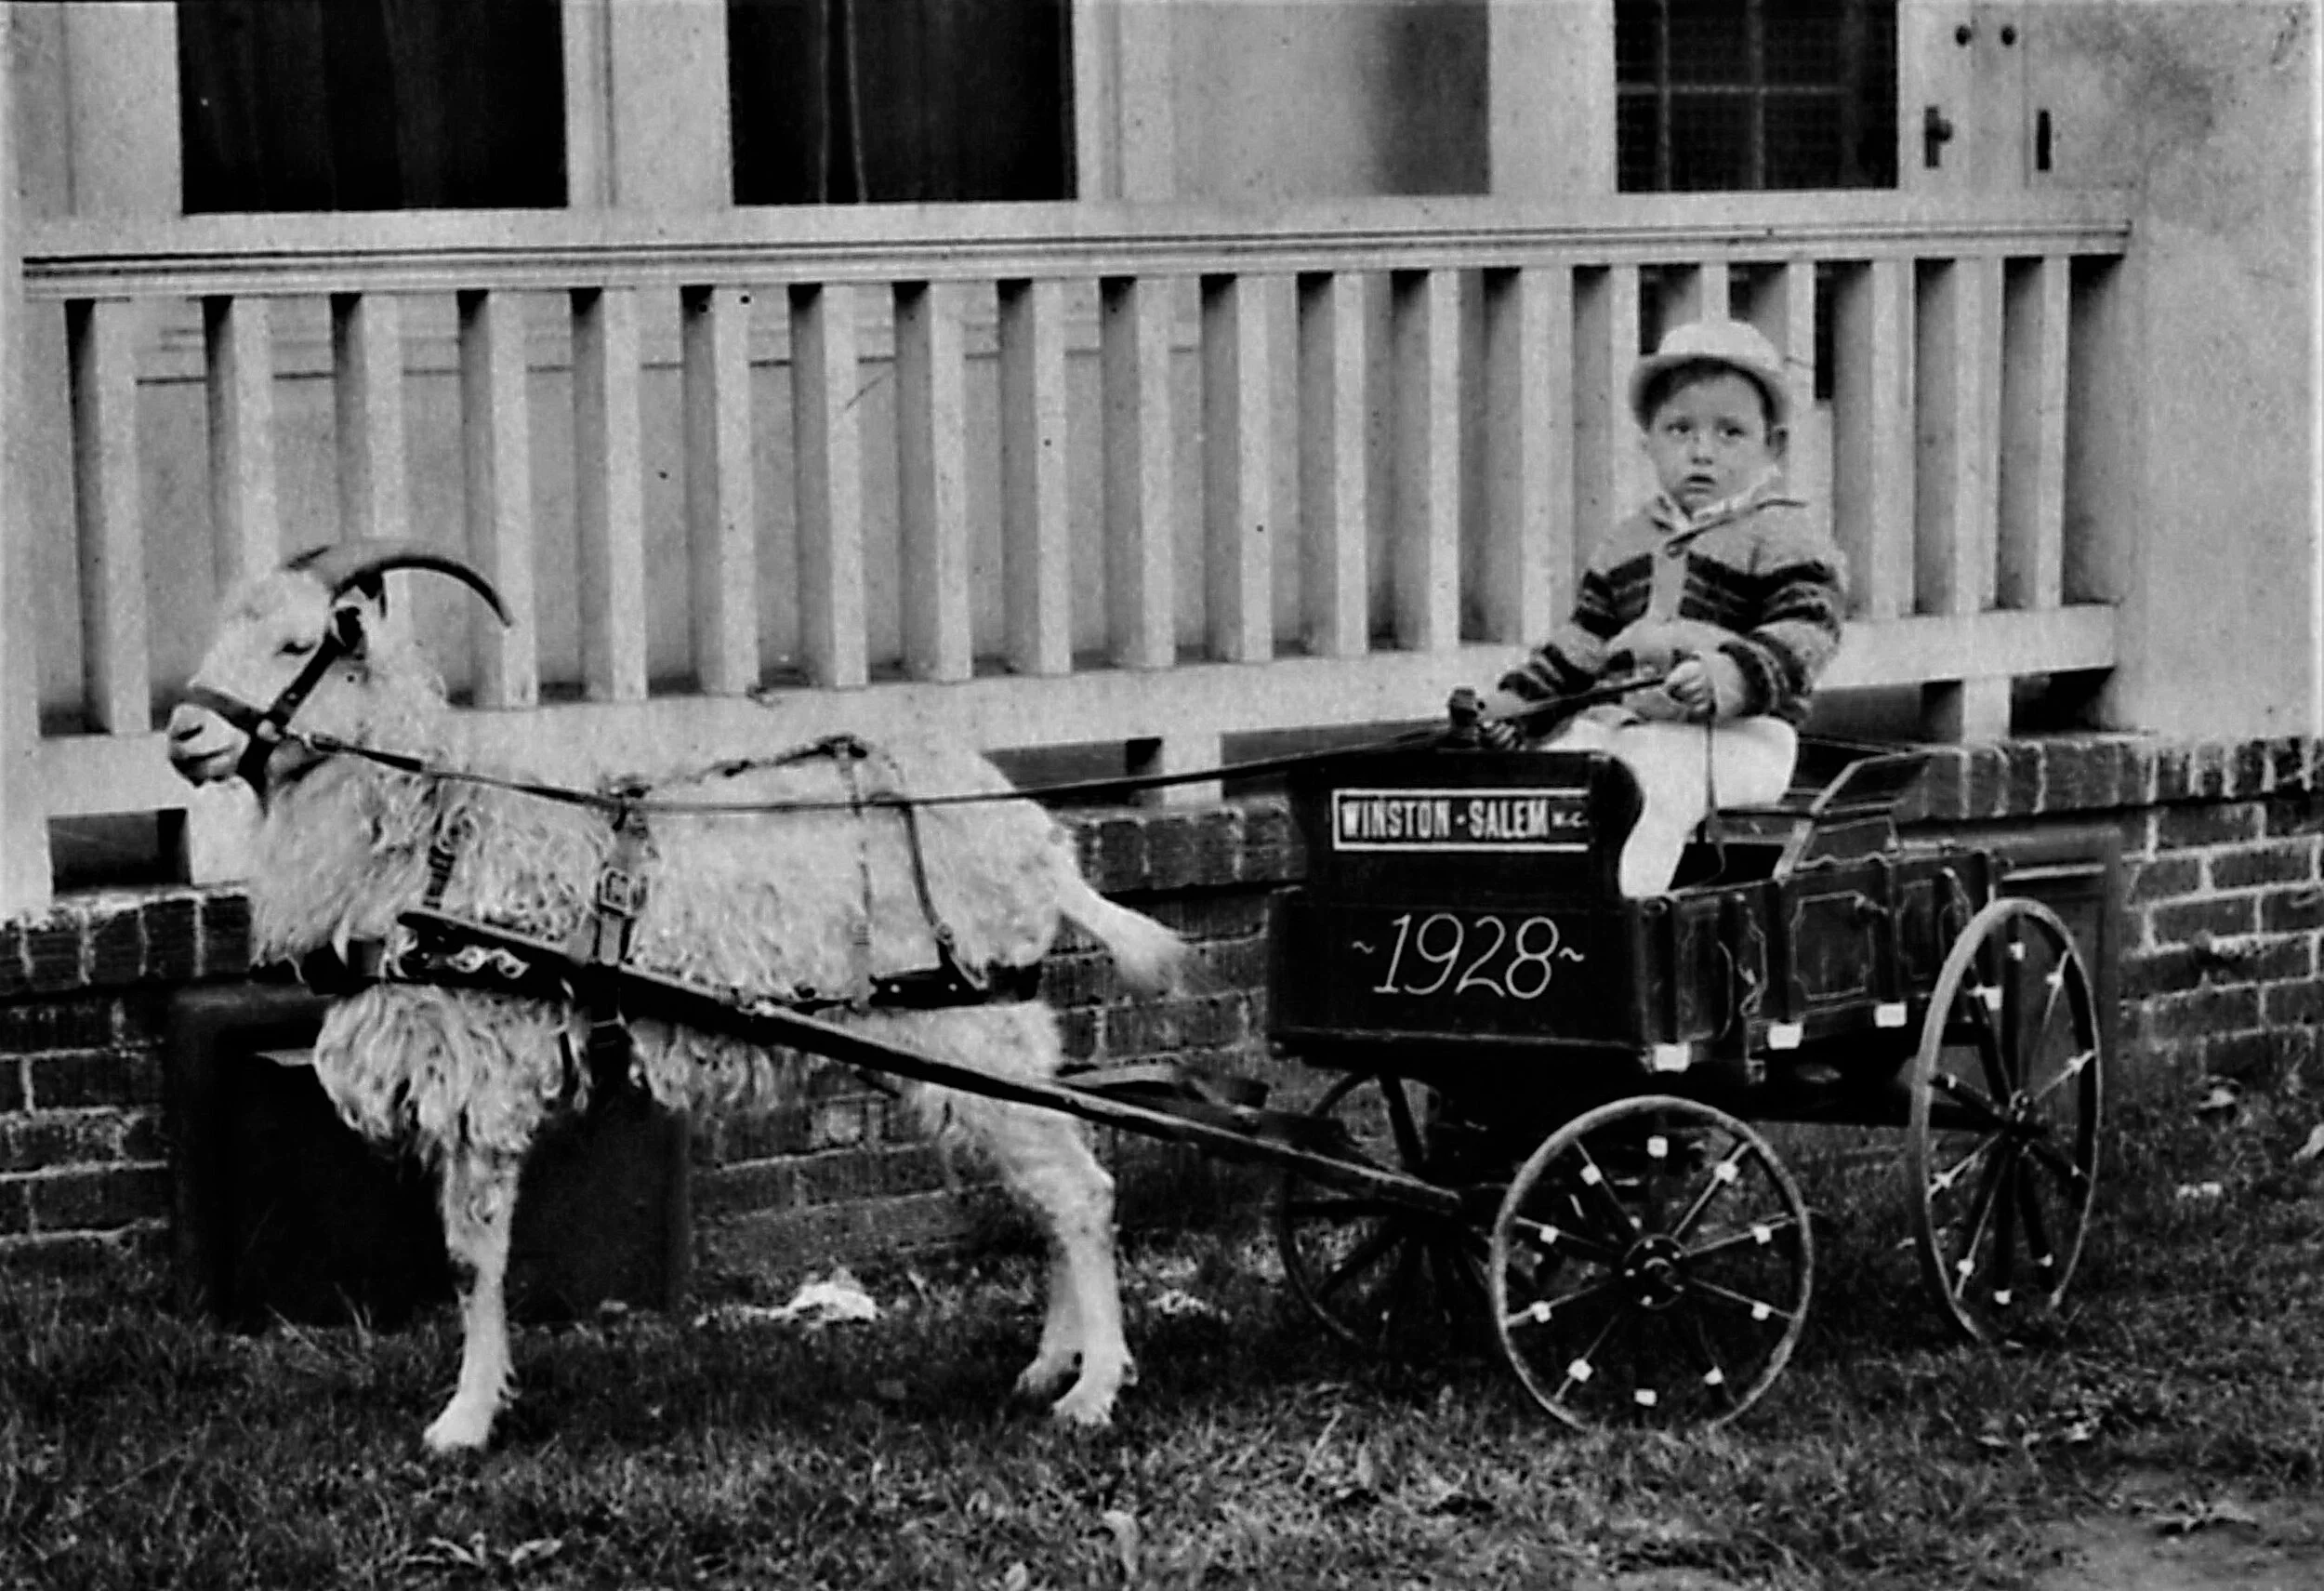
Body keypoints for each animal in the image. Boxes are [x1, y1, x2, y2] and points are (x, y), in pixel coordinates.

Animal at [165, 542, 1185, 1453]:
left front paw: (463, 1422)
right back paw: (1048, 1365)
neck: (437, 836)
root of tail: (1040, 842)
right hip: (987, 1036)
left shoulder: (483, 1067)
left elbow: (471, 1256)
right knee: (1053, 1185)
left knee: (1079, 1191)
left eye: (299, 645)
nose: (183, 734)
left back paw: (1093, 1390)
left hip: (975, 1027)